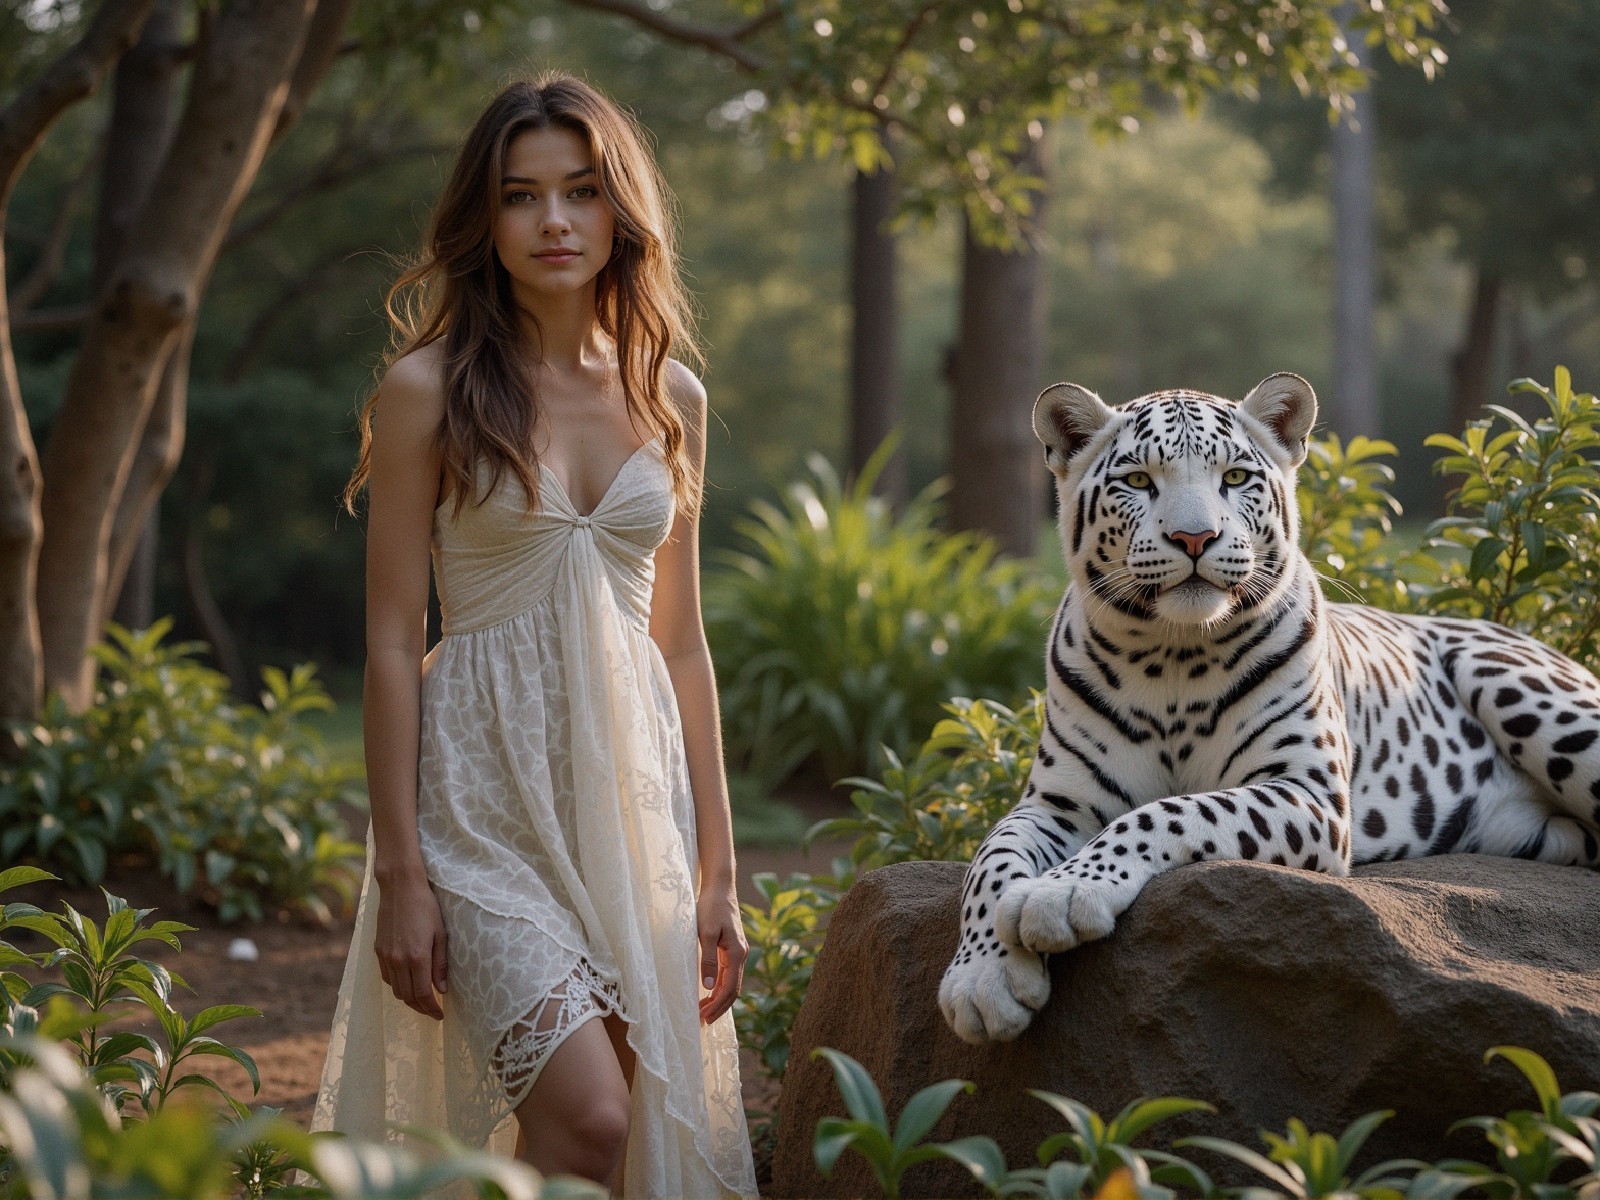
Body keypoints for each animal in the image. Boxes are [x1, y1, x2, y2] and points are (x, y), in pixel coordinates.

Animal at [938, 371, 1600, 1046]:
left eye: (1234, 478)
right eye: (1138, 481)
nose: (1195, 538)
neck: (1171, 657)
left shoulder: (1308, 793)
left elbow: (1169, 811)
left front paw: (1065, 890)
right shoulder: (1058, 801)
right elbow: (990, 858)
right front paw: (983, 975)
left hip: (1522, 689)